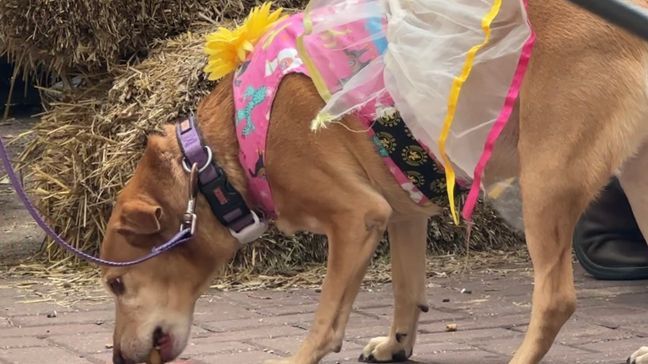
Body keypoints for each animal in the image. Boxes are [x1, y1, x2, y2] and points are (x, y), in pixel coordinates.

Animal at [100, 1, 648, 362]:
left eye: (116, 283)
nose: (120, 359)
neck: (216, 158)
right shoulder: (402, 215)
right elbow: (407, 289)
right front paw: (396, 345)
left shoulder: (356, 217)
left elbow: (325, 322)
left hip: (545, 185)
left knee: (555, 300)